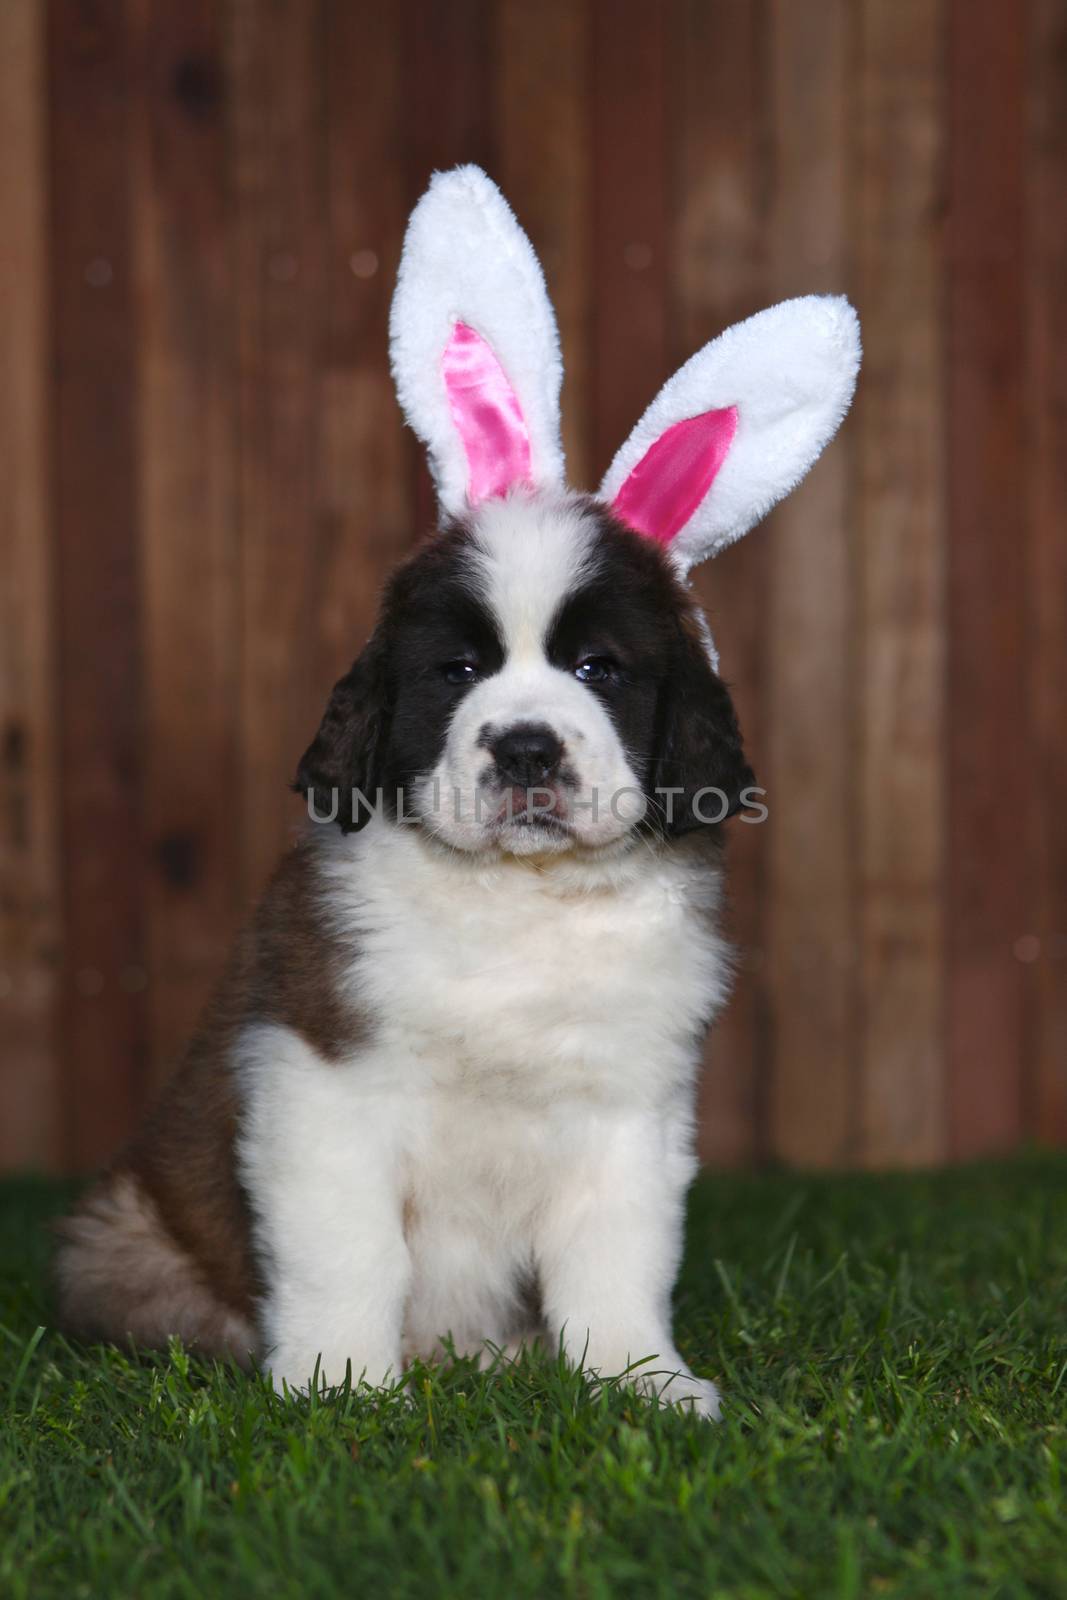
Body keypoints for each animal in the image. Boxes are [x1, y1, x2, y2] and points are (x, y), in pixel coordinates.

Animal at [56, 165, 857, 1427]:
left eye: (599, 668)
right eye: (457, 669)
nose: (525, 749)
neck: (516, 907)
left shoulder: (630, 1106)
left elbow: (616, 1255)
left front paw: (638, 1380)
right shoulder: (320, 1083)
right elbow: (351, 1249)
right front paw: (338, 1381)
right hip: (120, 1237)